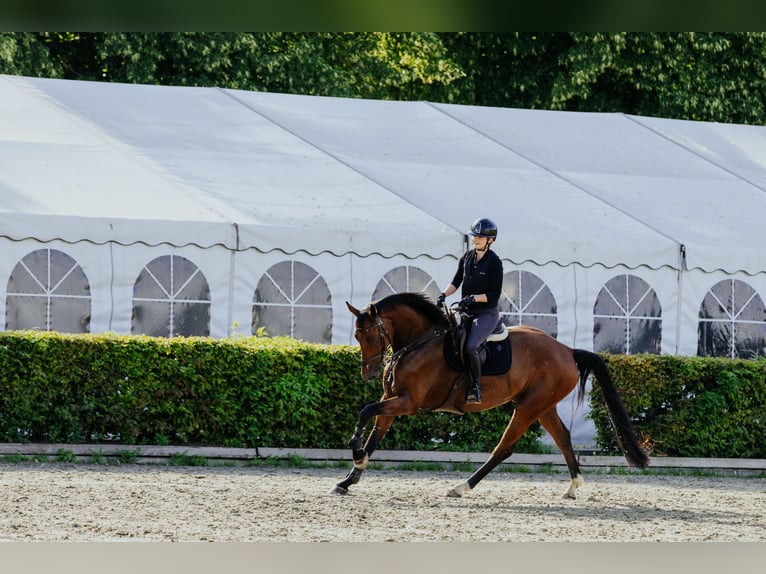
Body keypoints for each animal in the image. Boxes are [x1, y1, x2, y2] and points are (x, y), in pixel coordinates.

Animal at [331, 292, 649, 499]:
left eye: (371, 336)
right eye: (358, 336)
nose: (369, 374)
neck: (419, 342)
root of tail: (567, 351)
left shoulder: (408, 403)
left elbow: (365, 412)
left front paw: (355, 453)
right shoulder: (393, 398)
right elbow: (375, 436)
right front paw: (349, 479)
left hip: (528, 407)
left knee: (503, 449)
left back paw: (462, 487)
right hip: (543, 406)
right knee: (563, 438)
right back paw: (572, 487)